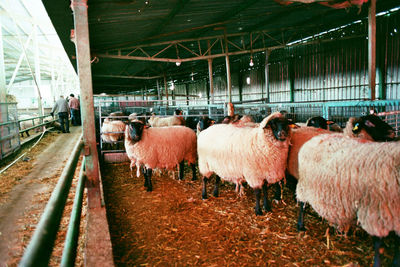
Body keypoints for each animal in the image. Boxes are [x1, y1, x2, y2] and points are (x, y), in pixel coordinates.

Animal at [296, 134, 400, 267]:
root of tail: (316, 138)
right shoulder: (374, 213)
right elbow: (379, 247)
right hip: (304, 185)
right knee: (302, 204)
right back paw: (301, 225)